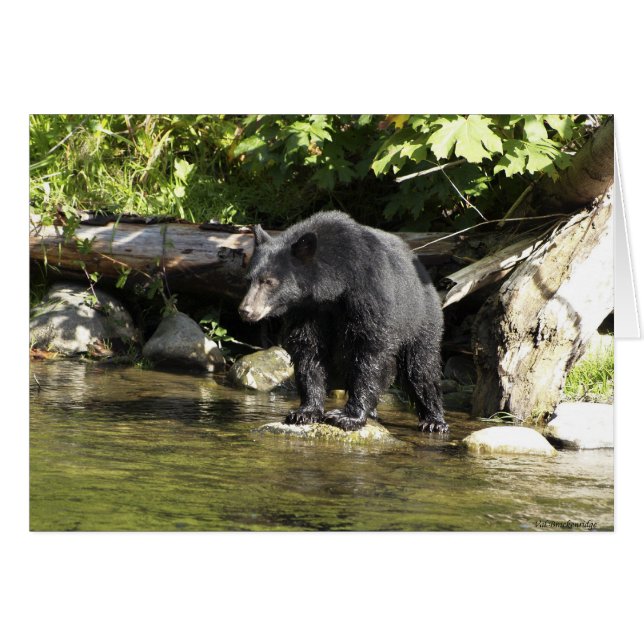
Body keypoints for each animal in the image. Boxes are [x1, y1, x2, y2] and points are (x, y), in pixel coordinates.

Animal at [238, 211, 448, 433]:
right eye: (248, 280)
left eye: (269, 281)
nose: (246, 310)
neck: (335, 286)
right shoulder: (307, 310)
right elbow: (308, 351)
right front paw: (305, 411)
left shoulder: (368, 293)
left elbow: (369, 350)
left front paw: (348, 417)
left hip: (420, 317)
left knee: (420, 366)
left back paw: (434, 420)